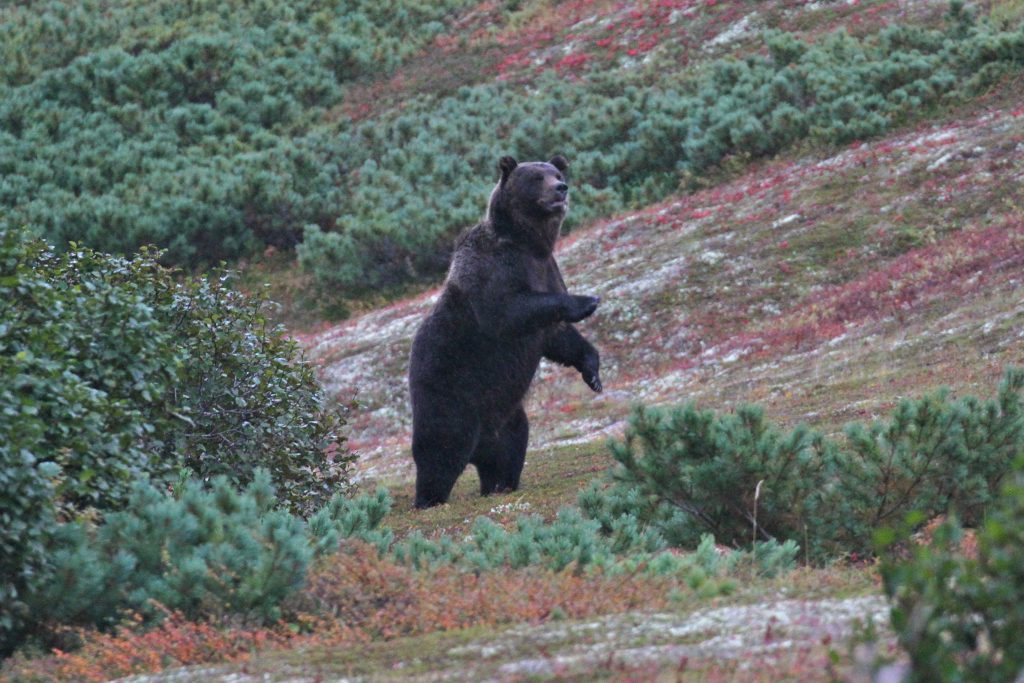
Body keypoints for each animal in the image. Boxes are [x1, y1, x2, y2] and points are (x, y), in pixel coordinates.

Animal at [407, 154, 603, 509]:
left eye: (557, 172)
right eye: (537, 177)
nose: (561, 188)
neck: (530, 244)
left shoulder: (547, 269)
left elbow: (558, 337)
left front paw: (593, 373)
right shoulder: (494, 269)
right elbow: (507, 310)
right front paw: (586, 301)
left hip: (508, 417)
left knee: (510, 451)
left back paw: (500, 484)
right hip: (449, 396)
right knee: (440, 451)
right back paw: (429, 499)